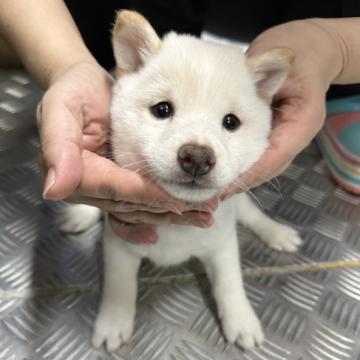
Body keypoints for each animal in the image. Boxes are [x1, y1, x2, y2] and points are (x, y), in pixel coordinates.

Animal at [59, 10, 300, 352]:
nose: (197, 157)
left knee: (251, 214)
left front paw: (241, 320)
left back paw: (276, 232)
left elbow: (230, 283)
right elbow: (120, 287)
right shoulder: (119, 244)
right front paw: (113, 321)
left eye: (231, 122)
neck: (176, 224)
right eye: (162, 109)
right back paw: (80, 213)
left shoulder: (222, 243)